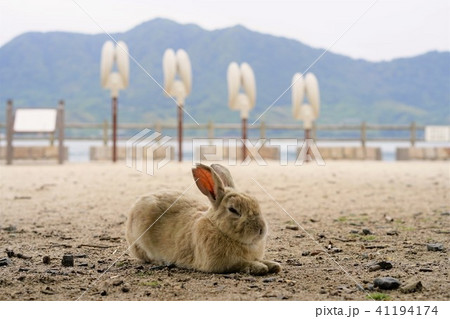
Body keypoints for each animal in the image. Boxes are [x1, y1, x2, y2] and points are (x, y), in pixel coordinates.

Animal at [125, 164, 282, 276]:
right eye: (233, 210)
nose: (261, 229)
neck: (218, 227)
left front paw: (273, 265)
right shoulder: (223, 263)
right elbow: (241, 264)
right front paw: (260, 267)